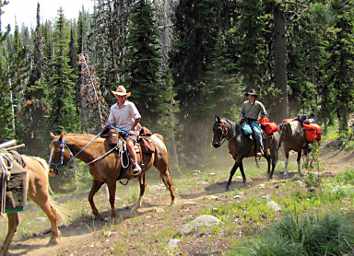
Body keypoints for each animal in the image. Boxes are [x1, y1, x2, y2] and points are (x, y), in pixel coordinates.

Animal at [48, 133, 176, 219]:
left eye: (58, 150)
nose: (51, 170)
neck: (97, 154)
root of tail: (157, 137)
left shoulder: (111, 181)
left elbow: (111, 198)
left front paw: (114, 215)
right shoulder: (98, 180)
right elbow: (90, 197)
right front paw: (96, 213)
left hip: (162, 167)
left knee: (169, 182)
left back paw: (172, 202)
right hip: (142, 172)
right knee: (143, 187)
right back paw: (136, 207)